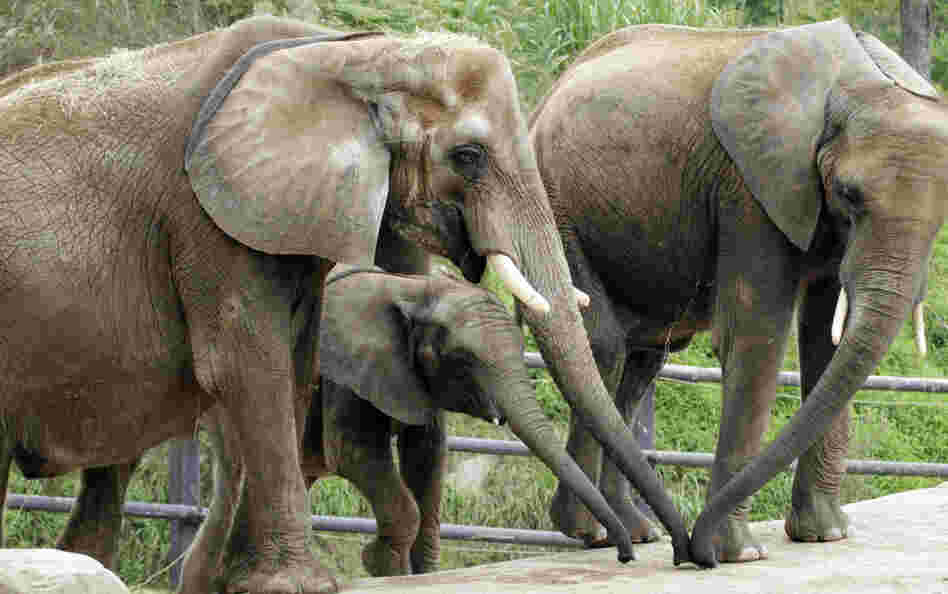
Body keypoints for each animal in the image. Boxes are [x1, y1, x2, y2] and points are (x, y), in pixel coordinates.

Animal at [0, 13, 704, 593]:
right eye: (468, 157)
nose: (664, 553)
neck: (349, 55)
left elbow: (292, 365)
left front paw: (256, 581)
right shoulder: (202, 213)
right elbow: (246, 366)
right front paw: (299, 584)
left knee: (107, 481)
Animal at [529, 19, 947, 565]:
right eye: (850, 195)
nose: (692, 552)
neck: (854, 80)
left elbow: (825, 342)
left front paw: (825, 536)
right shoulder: (749, 188)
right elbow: (756, 336)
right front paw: (740, 555)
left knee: (641, 361)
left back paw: (635, 531)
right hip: (551, 202)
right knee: (604, 346)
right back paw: (594, 532)